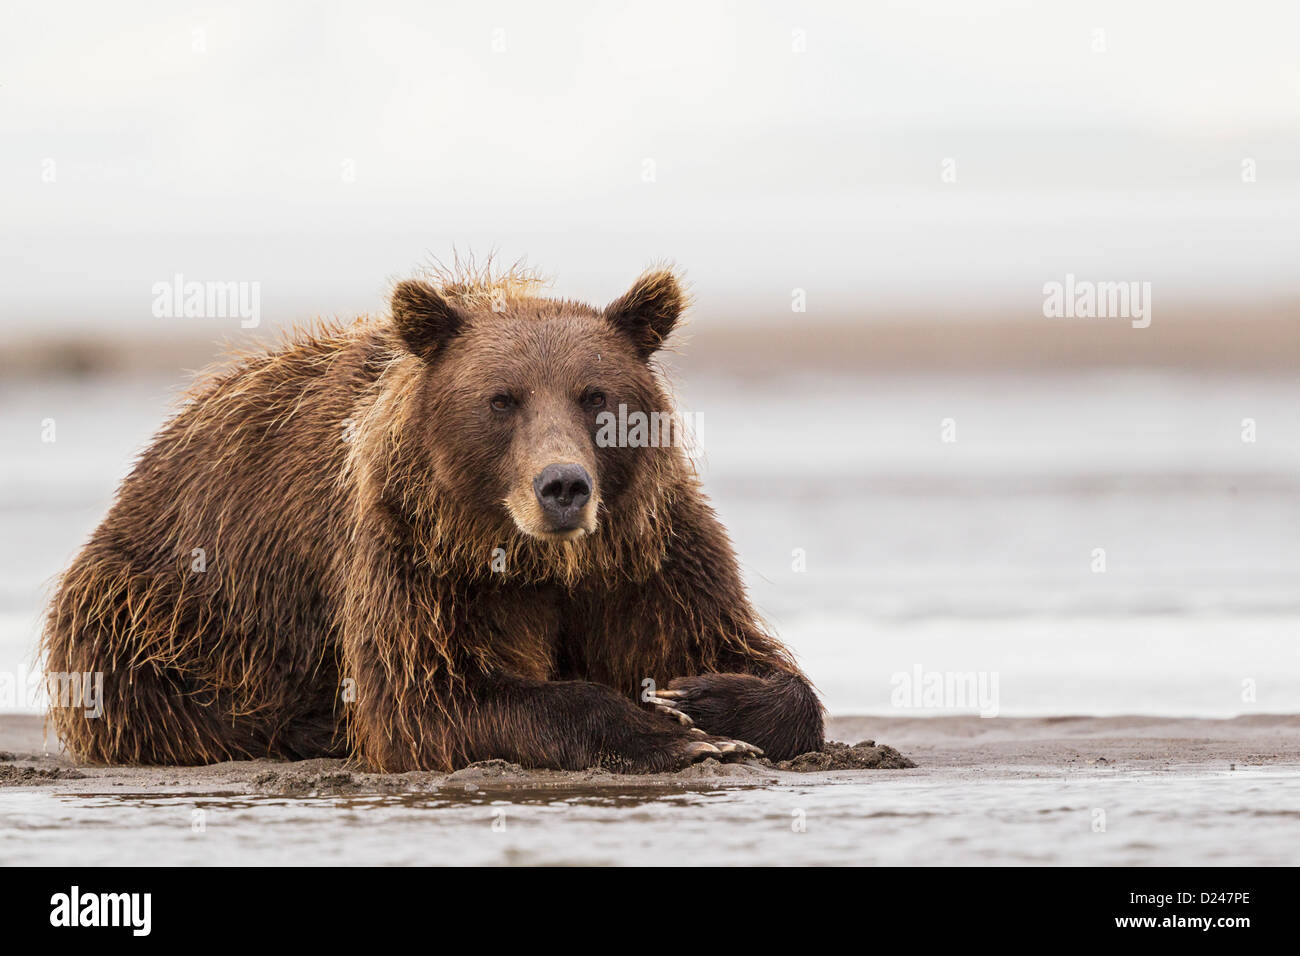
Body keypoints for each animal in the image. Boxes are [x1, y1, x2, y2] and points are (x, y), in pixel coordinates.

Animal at [45, 265, 826, 775]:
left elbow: (732, 648)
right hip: (163, 595)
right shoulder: (417, 552)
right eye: (502, 399)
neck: (542, 560)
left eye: (594, 395)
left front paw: (702, 698)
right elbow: (424, 696)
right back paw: (307, 727)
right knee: (142, 682)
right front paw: (675, 733)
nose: (563, 487)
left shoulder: (647, 553)